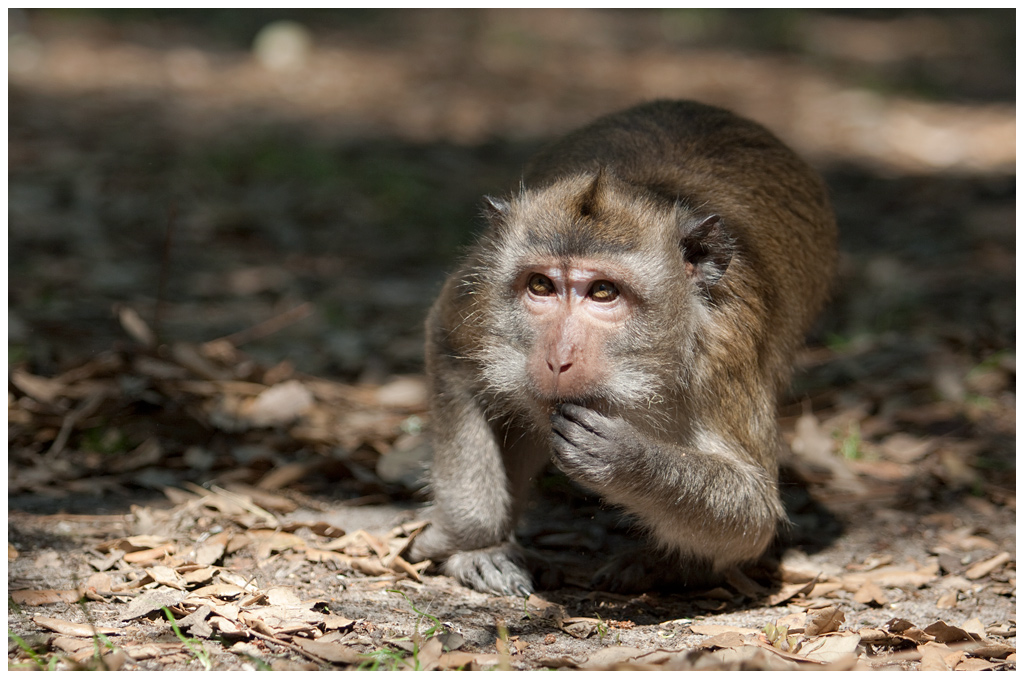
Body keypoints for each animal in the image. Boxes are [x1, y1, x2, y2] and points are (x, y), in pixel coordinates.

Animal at [407, 99, 839, 593]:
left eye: (603, 292)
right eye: (540, 286)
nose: (558, 358)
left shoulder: (725, 353)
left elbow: (756, 512)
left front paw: (628, 460)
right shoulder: (479, 297)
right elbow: (448, 350)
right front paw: (475, 544)